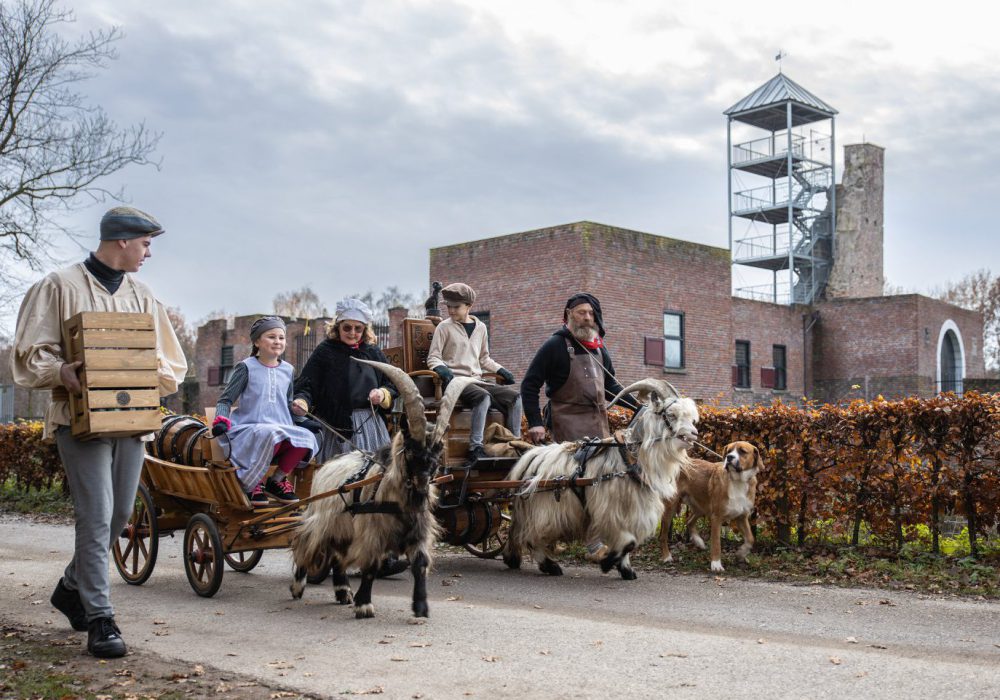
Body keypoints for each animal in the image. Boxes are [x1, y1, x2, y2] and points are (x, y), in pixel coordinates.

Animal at [290, 360, 476, 616]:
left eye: (438, 451)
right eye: (411, 449)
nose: (422, 485)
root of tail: (326, 465)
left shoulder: (418, 531)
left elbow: (419, 564)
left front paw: (420, 606)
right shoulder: (373, 532)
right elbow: (371, 566)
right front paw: (364, 606)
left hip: (342, 527)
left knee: (338, 556)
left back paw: (342, 591)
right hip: (322, 519)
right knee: (305, 541)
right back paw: (298, 586)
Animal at [500, 380, 696, 584]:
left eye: (691, 418)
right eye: (671, 415)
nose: (694, 434)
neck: (629, 459)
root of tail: (528, 457)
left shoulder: (635, 512)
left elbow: (630, 543)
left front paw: (626, 570)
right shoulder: (609, 511)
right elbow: (628, 542)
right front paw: (607, 563)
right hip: (543, 511)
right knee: (531, 538)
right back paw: (550, 565)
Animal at [656, 440, 764, 572]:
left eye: (742, 451)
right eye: (728, 451)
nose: (729, 457)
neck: (737, 481)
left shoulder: (742, 517)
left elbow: (750, 539)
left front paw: (741, 553)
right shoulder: (716, 517)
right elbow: (716, 542)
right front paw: (716, 564)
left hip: (701, 506)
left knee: (689, 521)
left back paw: (698, 542)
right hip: (671, 506)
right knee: (663, 536)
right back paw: (667, 557)